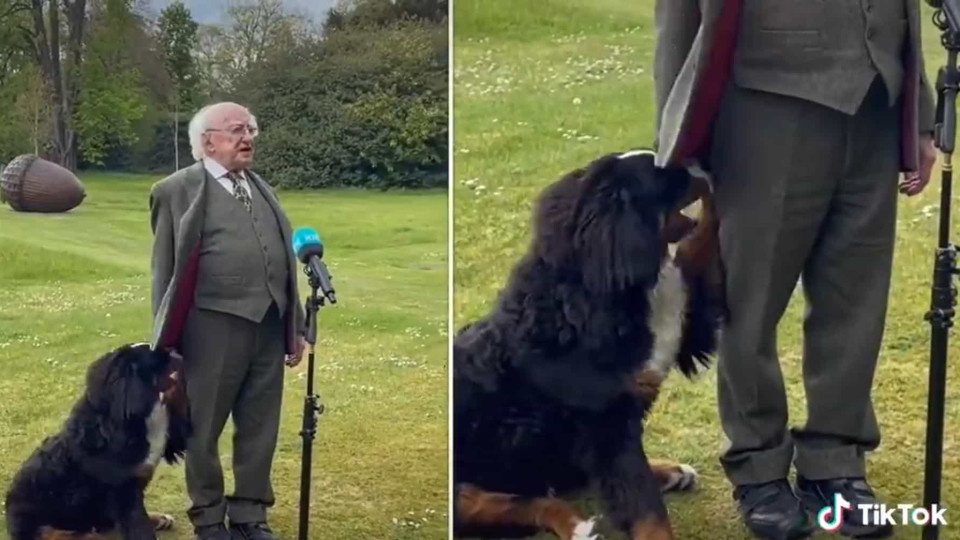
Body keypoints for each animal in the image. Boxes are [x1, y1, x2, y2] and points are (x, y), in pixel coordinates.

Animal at [454, 149, 724, 540]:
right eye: (662, 172)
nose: (699, 161)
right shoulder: (606, 422)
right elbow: (644, 504)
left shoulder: (683, 328)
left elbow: (702, 241)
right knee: (515, 501)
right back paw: (575, 524)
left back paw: (670, 471)